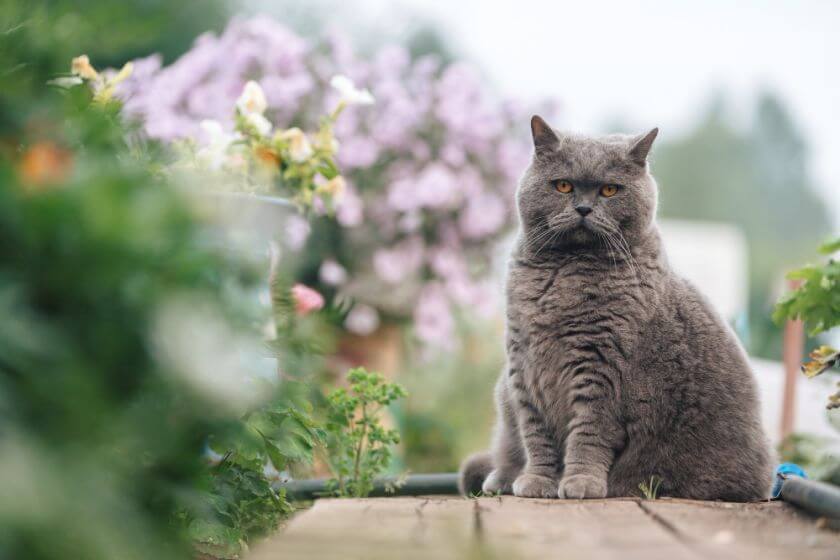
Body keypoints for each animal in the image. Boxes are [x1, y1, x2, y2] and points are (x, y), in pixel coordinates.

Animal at [460, 116, 776, 500]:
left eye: (610, 190)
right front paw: (537, 480)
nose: (583, 208)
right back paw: (501, 478)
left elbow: (589, 431)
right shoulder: (524, 366)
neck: (564, 273)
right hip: (503, 390)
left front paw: (581, 482)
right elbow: (536, 433)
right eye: (563, 185)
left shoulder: (601, 366)